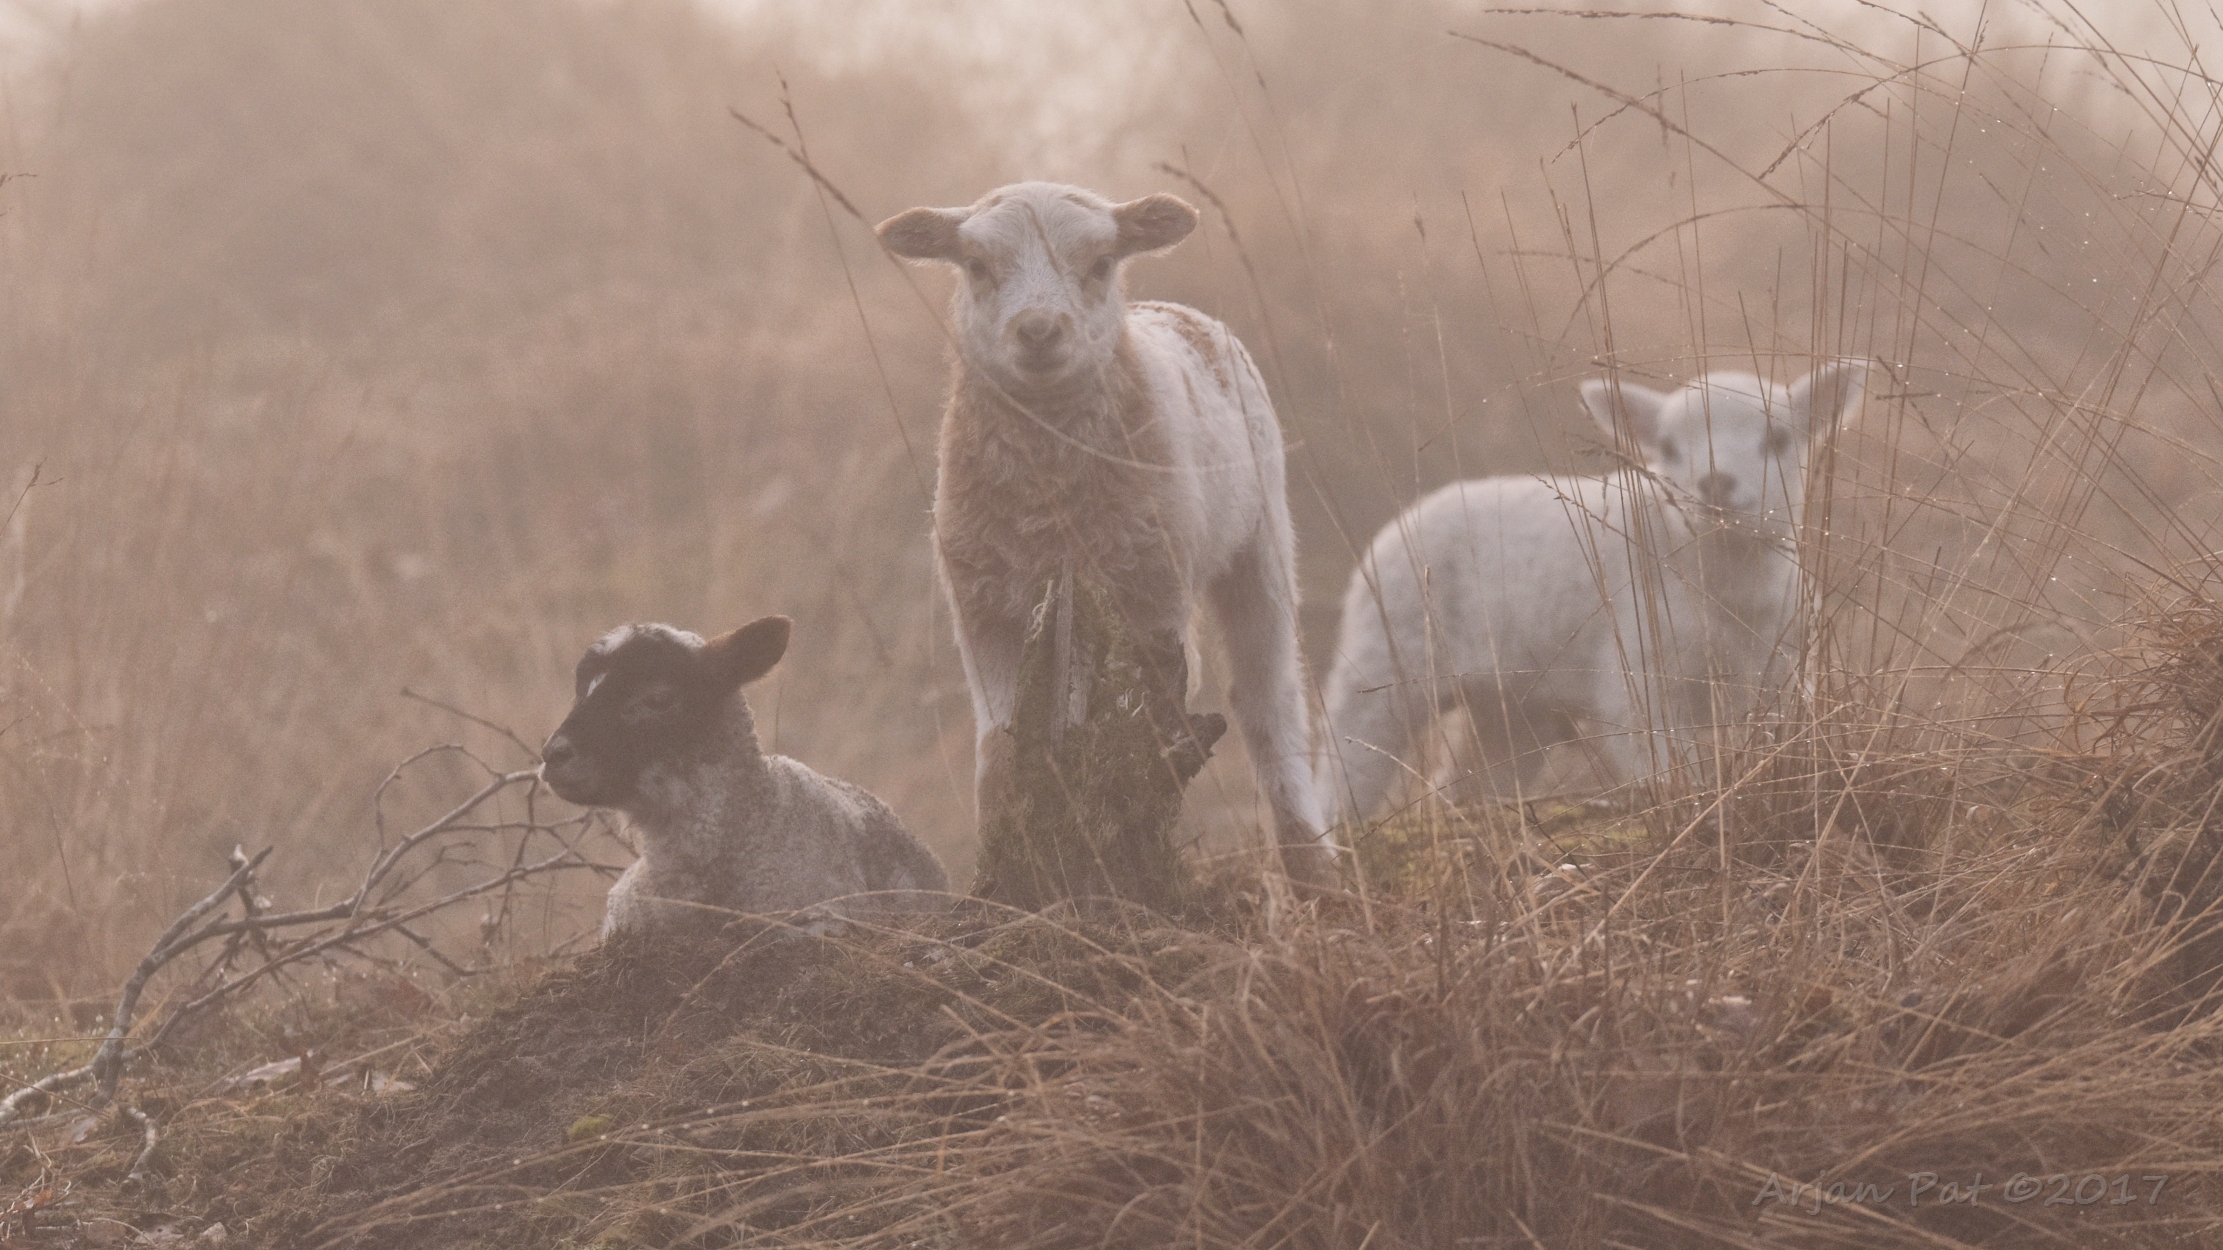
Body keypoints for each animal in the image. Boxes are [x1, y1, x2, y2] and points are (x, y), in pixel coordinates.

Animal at [875, 181, 1337, 886]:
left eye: (1099, 264)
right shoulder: (984, 607)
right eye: (977, 267)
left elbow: (1137, 728)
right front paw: (1008, 855)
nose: (1039, 331)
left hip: (1258, 538)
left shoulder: (1151, 596)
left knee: (1267, 699)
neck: (1050, 500)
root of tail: (1169, 308)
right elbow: (996, 745)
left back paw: (1310, 862)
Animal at [1318, 363, 1866, 823]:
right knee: (1345, 758)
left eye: (1778, 439)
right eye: (1668, 449)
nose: (1715, 484)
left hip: (1514, 705)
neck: (1727, 581)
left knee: (1470, 779)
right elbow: (1675, 774)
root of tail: (1400, 523)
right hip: (1385, 658)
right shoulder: (1636, 686)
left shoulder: (1784, 682)